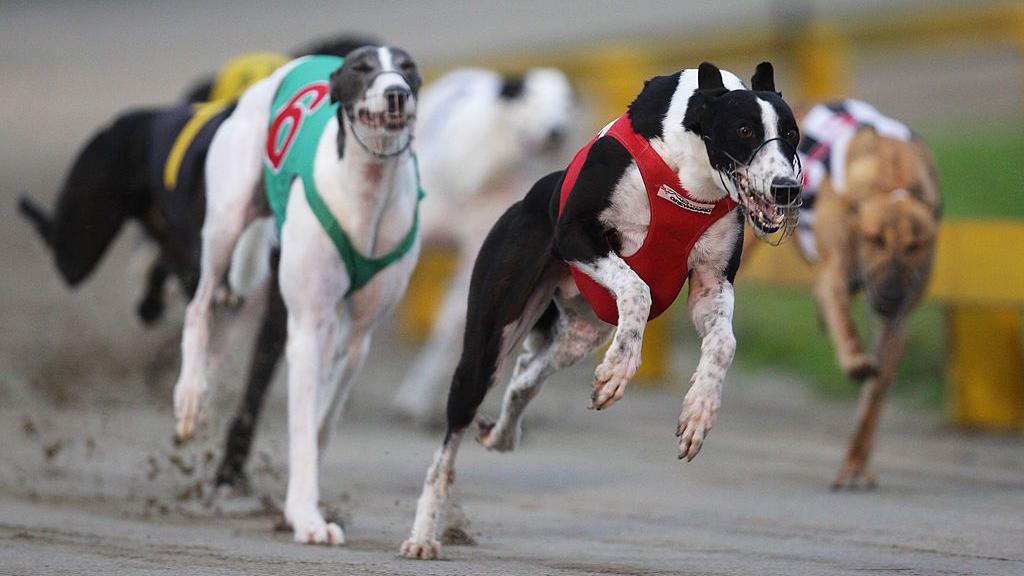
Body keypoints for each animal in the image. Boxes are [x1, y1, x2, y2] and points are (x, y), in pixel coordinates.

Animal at [174, 45, 421, 541]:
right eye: (362, 67)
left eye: (408, 67)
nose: (397, 93)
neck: (367, 193)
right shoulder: (306, 326)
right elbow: (304, 427)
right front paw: (307, 518)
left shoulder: (358, 337)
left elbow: (322, 422)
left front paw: (302, 504)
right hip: (226, 221)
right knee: (200, 304)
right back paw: (190, 395)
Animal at [790, 100, 942, 485]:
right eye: (875, 240)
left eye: (916, 245)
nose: (890, 296)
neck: (894, 177)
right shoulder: (834, 275)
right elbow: (844, 319)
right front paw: (856, 359)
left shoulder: (896, 325)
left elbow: (874, 400)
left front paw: (855, 463)